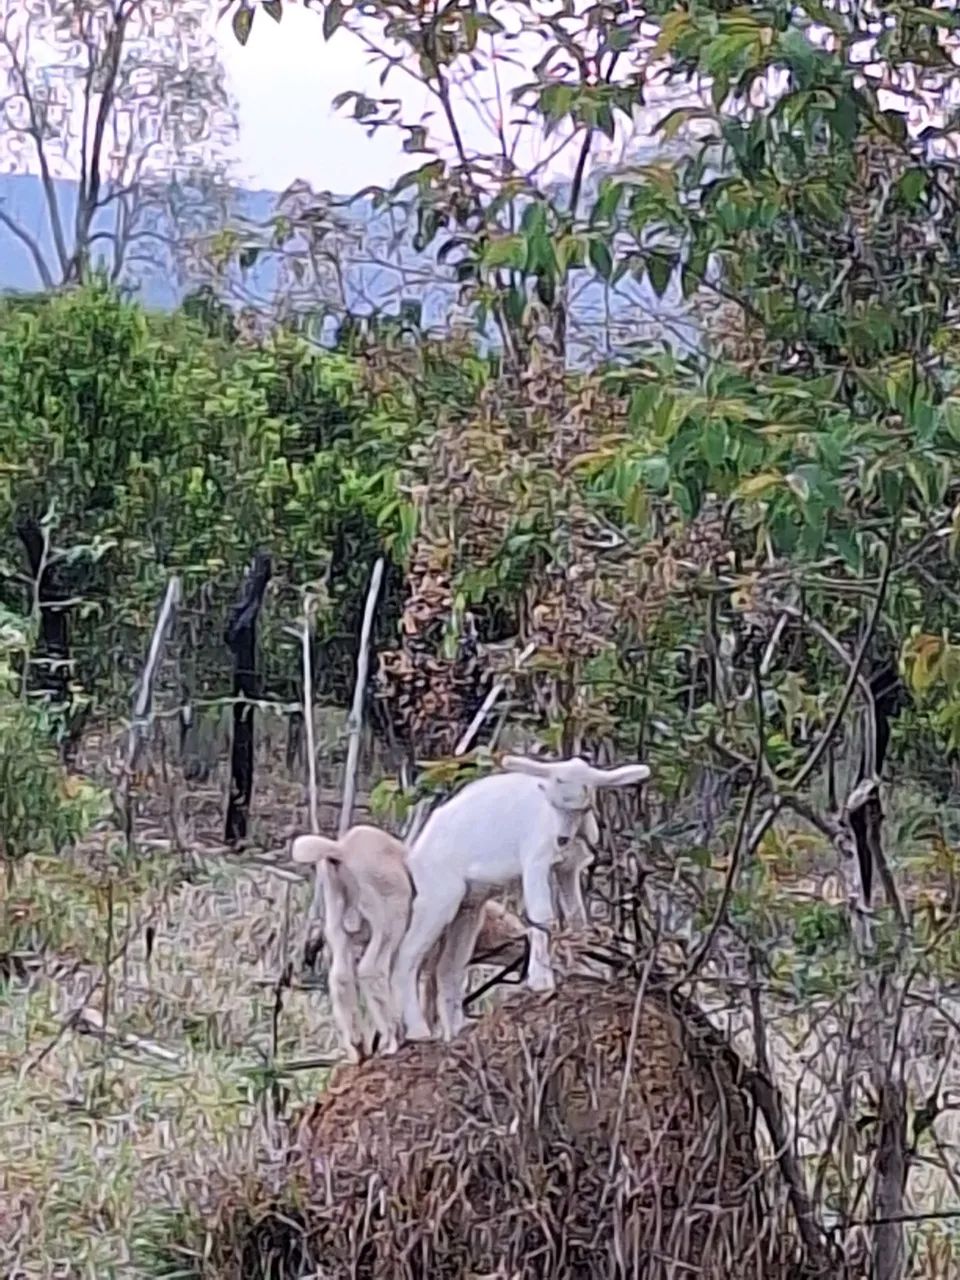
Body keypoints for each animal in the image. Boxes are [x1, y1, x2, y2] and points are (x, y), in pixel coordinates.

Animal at [391, 754, 651, 1044]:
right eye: (551, 801)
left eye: (584, 806)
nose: (561, 839)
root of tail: (414, 852)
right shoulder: (535, 860)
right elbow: (542, 915)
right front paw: (541, 982)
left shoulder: (568, 868)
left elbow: (577, 917)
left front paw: (586, 970)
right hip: (438, 895)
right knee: (407, 953)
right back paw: (419, 1031)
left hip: (468, 908)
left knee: (448, 967)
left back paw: (457, 1030)